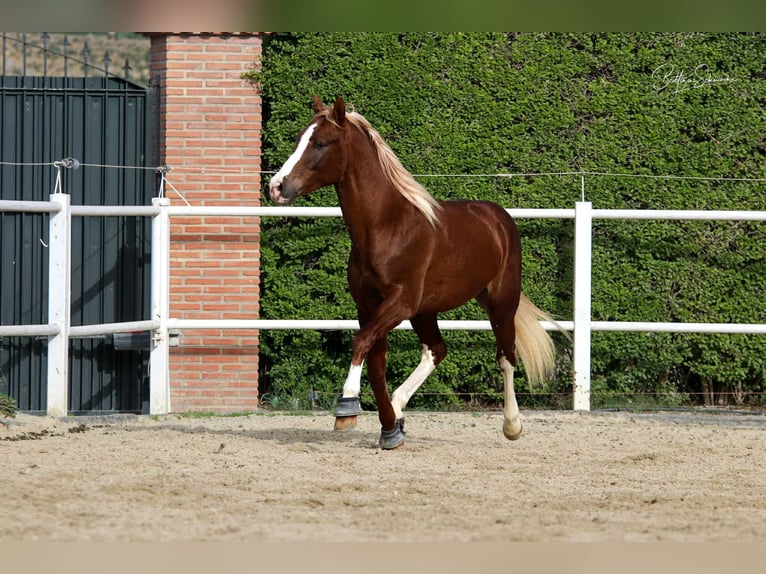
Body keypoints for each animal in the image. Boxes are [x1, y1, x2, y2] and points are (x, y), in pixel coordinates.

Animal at [272, 97, 560, 452]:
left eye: (321, 143)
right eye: (300, 138)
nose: (276, 187)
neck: (386, 226)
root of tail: (498, 216)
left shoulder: (400, 303)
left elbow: (361, 342)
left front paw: (348, 405)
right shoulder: (368, 307)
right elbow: (375, 362)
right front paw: (388, 428)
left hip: (500, 304)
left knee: (506, 357)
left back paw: (512, 425)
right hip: (427, 310)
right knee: (437, 350)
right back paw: (398, 410)